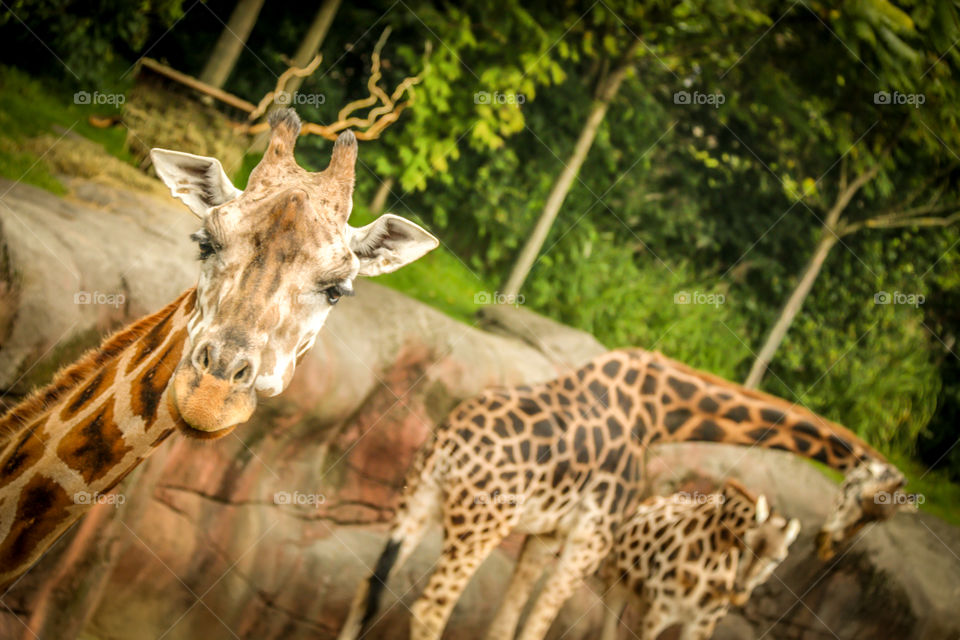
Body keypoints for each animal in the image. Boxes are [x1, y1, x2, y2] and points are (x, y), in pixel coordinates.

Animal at [598, 480, 801, 640]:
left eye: (777, 559)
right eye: (745, 543)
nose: (739, 593)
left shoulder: (701, 626)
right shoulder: (656, 615)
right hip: (615, 584)